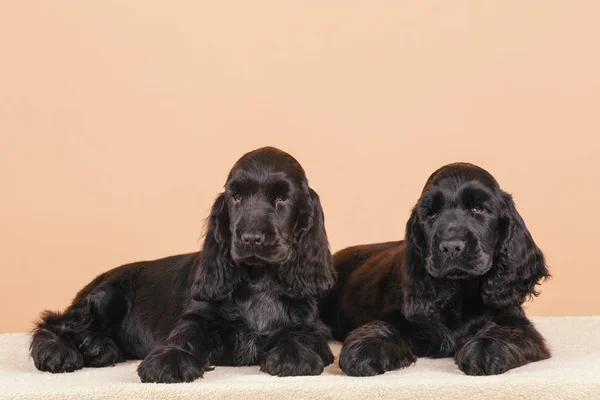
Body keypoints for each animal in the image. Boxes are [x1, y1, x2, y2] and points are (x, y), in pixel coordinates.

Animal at [31, 146, 338, 382]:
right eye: (236, 196)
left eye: (282, 198)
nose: (251, 238)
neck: (259, 280)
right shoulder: (197, 316)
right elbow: (186, 333)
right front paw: (170, 360)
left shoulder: (313, 326)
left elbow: (303, 335)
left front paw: (294, 355)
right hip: (106, 297)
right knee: (55, 322)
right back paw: (58, 351)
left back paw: (96, 347)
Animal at [322, 162, 552, 376]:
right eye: (431, 214)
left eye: (478, 209)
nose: (451, 246)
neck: (459, 292)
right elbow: (383, 325)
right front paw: (365, 349)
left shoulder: (516, 321)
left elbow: (508, 331)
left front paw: (485, 349)